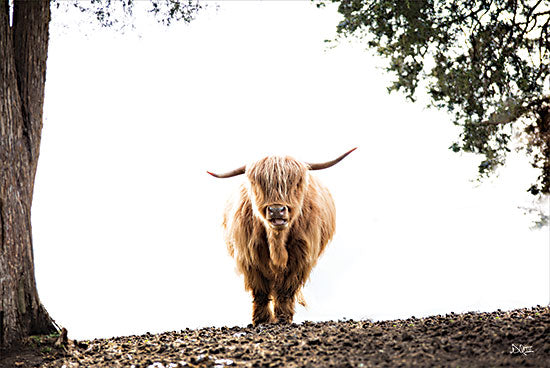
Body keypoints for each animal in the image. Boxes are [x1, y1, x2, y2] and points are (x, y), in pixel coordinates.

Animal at [208, 148, 358, 324]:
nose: (276, 210)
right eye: (258, 185)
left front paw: (283, 318)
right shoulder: (250, 258)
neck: (277, 242)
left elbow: (286, 290)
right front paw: (261, 319)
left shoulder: (300, 259)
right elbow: (260, 291)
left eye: (295, 184)